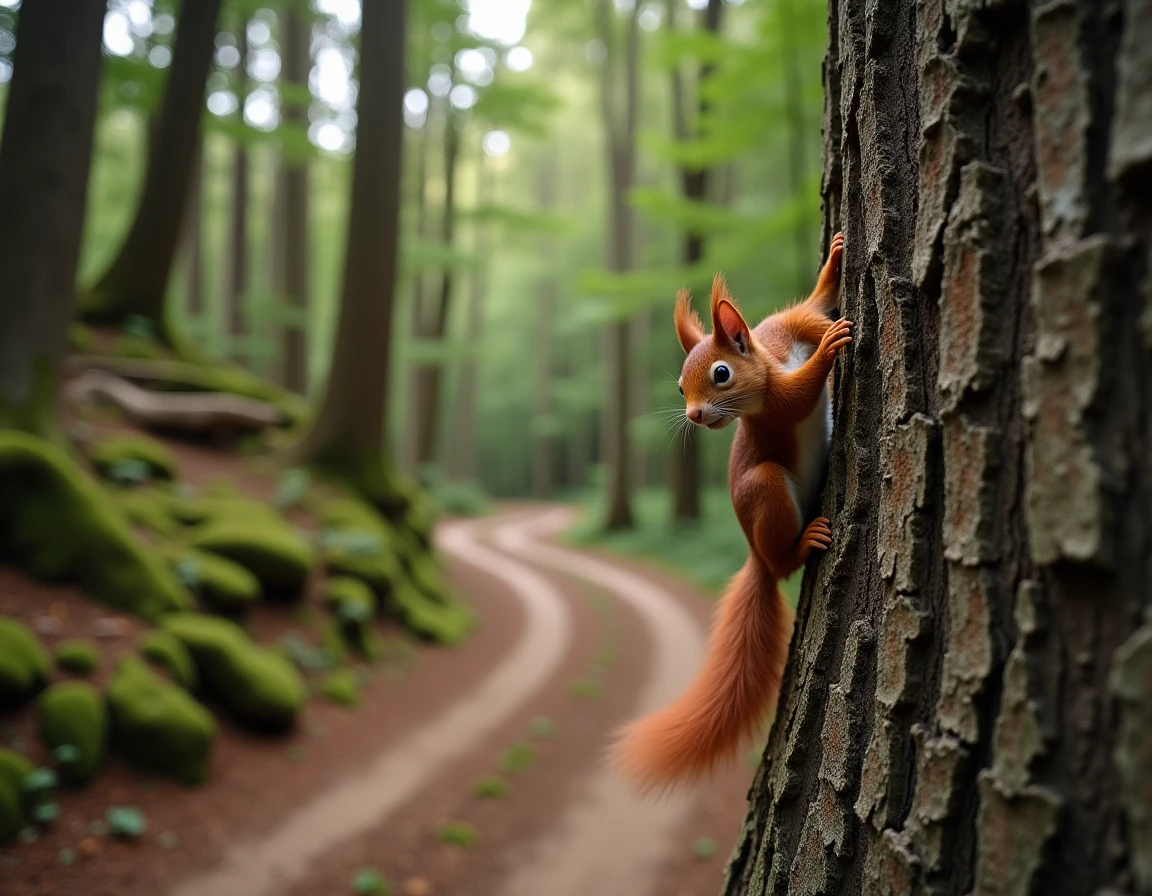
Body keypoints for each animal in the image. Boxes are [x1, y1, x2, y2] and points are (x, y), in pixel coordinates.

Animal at [611, 232, 851, 793]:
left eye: (720, 373)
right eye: (681, 387)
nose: (695, 416)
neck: (774, 357)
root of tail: (756, 555)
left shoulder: (787, 323)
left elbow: (817, 304)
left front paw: (832, 264)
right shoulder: (778, 406)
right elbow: (801, 394)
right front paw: (827, 351)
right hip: (767, 494)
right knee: (783, 563)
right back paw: (802, 546)